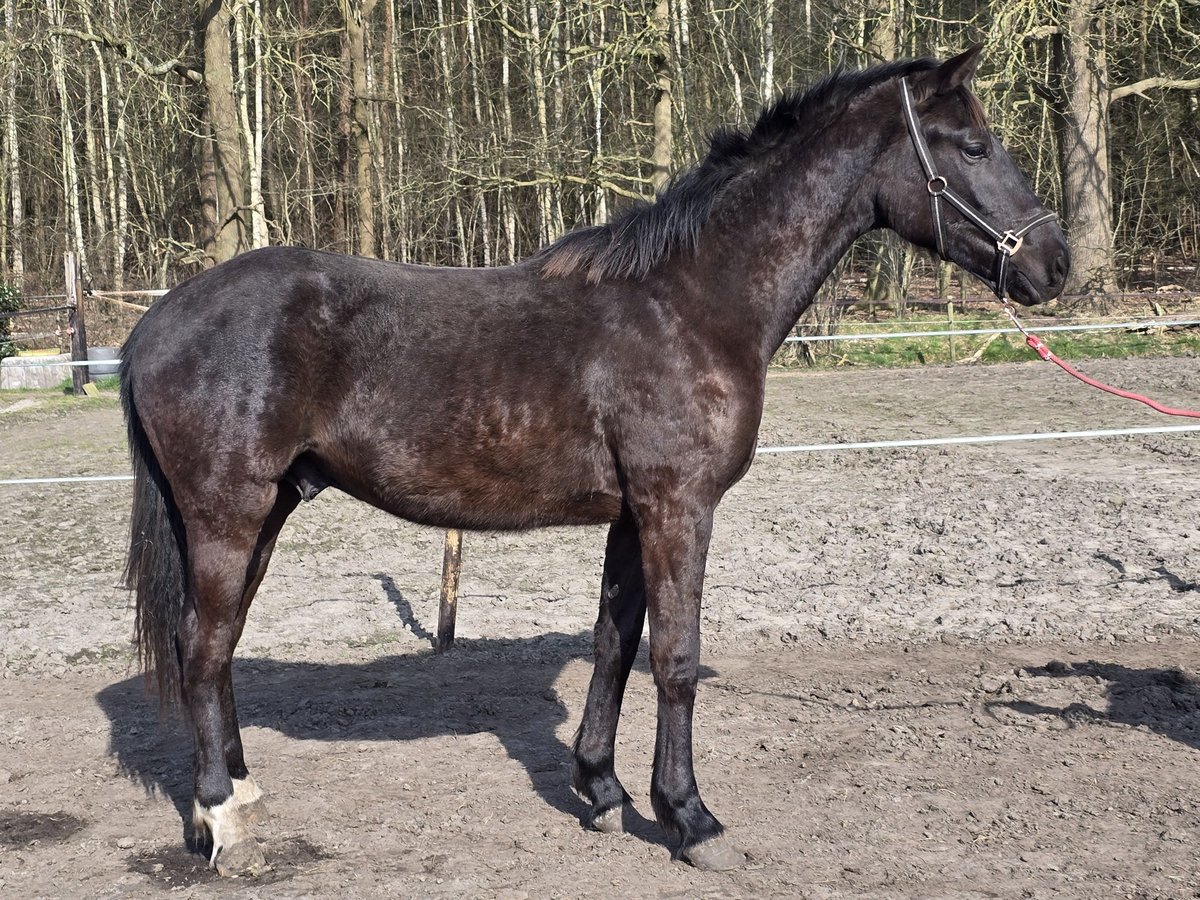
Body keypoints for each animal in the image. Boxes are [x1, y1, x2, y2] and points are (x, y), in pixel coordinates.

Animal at [117, 45, 1065, 878]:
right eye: (972, 145)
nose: (1055, 264)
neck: (690, 305)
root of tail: (153, 324)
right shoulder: (679, 507)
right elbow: (675, 660)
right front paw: (690, 819)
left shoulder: (631, 516)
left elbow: (615, 642)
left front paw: (603, 791)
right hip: (228, 513)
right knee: (202, 646)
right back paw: (222, 820)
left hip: (268, 509)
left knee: (220, 646)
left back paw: (239, 794)